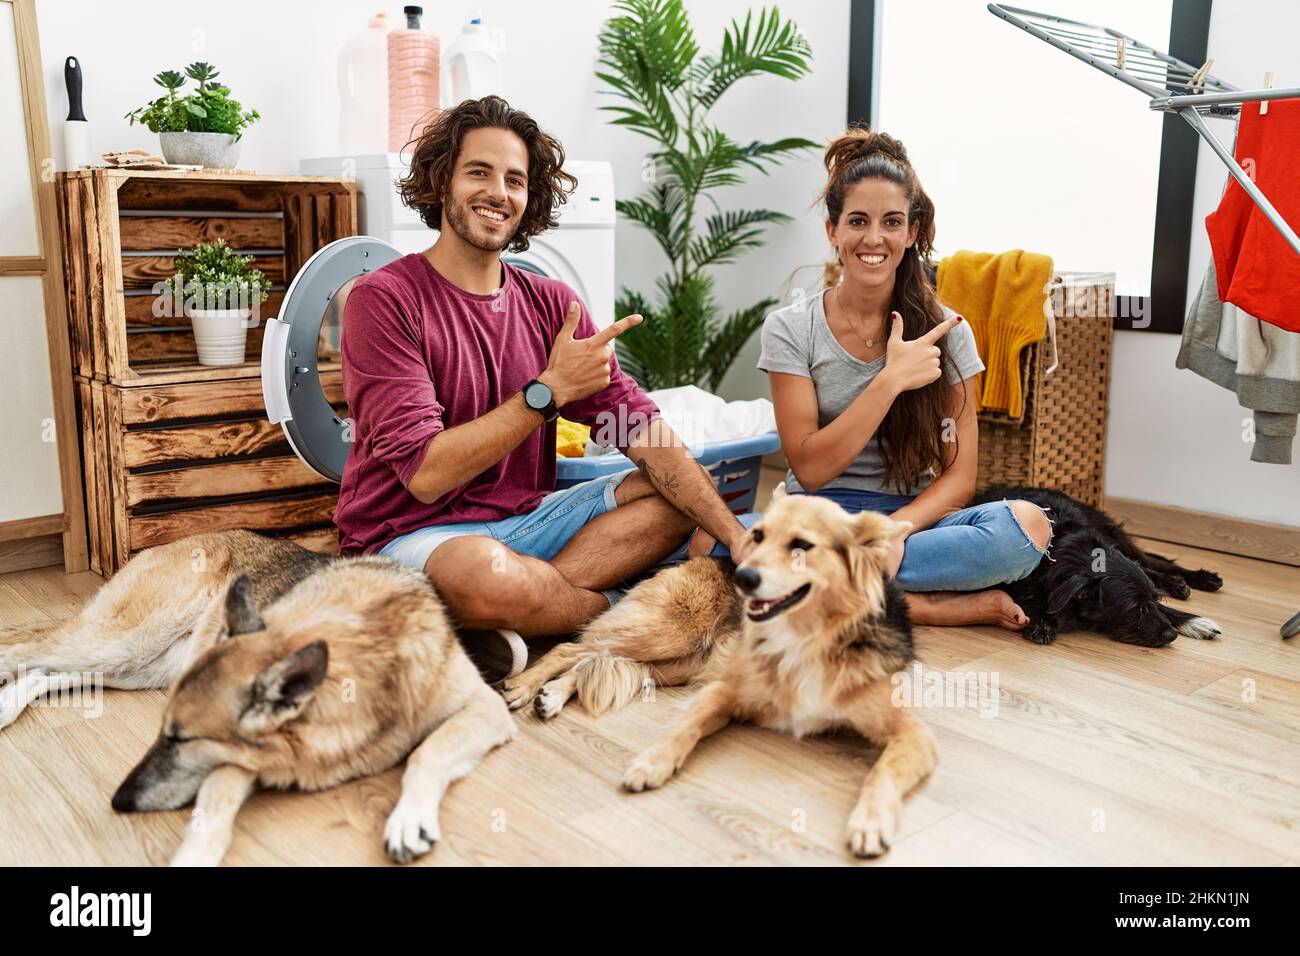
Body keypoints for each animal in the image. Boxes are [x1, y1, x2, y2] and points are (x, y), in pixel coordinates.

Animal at [0, 530, 514, 868]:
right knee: (22, 654)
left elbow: (428, 752)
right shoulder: (235, 761)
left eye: (179, 740)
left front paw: (408, 817)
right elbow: (215, 808)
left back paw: (8, 705)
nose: (119, 801)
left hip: (139, 667)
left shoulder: (486, 709)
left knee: (47, 674)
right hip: (124, 643)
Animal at [501, 486, 941, 858]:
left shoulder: (913, 734)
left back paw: (551, 696)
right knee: (573, 648)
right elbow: (683, 729)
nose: (745, 577)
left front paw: (870, 823)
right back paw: (523, 686)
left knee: (591, 660)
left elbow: (883, 773)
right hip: (668, 634)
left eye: (801, 545)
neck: (807, 638)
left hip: (675, 664)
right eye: (759, 536)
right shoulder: (725, 691)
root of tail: (707, 558)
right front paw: (650, 765)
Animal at [972, 486, 1222, 650]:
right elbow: (1024, 602)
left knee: (1152, 563)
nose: (1171, 635)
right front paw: (1040, 623)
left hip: (1114, 534)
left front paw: (1193, 621)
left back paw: (1192, 580)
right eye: (1134, 608)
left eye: (1153, 600)